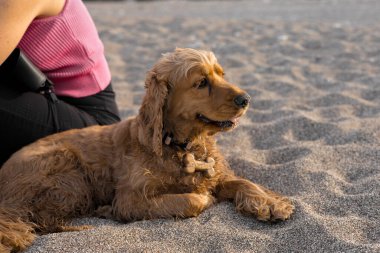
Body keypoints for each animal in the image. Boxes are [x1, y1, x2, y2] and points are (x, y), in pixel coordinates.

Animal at [0, 47, 294, 251]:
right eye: (201, 83)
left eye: (222, 74)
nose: (246, 99)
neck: (181, 145)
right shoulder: (130, 198)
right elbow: (194, 199)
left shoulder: (216, 174)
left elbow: (243, 182)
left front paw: (270, 203)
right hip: (68, 173)